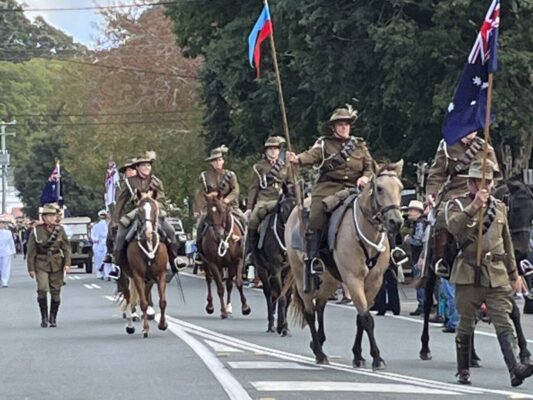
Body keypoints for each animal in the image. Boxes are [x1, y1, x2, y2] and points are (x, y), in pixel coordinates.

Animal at [122, 191, 168, 338]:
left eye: (154, 209)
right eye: (139, 210)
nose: (148, 232)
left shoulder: (161, 274)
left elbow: (162, 301)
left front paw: (163, 324)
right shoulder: (137, 276)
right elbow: (142, 302)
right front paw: (146, 329)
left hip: (149, 279)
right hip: (128, 277)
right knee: (130, 298)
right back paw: (130, 324)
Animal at [251, 183, 298, 336]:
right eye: (284, 207)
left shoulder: (289, 271)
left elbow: (286, 297)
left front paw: (284, 326)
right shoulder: (275, 268)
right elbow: (281, 297)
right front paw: (281, 326)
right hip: (262, 271)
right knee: (268, 294)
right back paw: (271, 324)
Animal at [286, 160, 404, 368]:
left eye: (401, 188)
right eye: (379, 188)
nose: (396, 222)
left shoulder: (374, 282)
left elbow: (361, 318)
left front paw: (358, 356)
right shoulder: (353, 280)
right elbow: (366, 318)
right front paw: (377, 358)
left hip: (330, 279)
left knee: (320, 304)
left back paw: (319, 342)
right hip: (301, 277)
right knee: (310, 311)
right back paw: (319, 353)